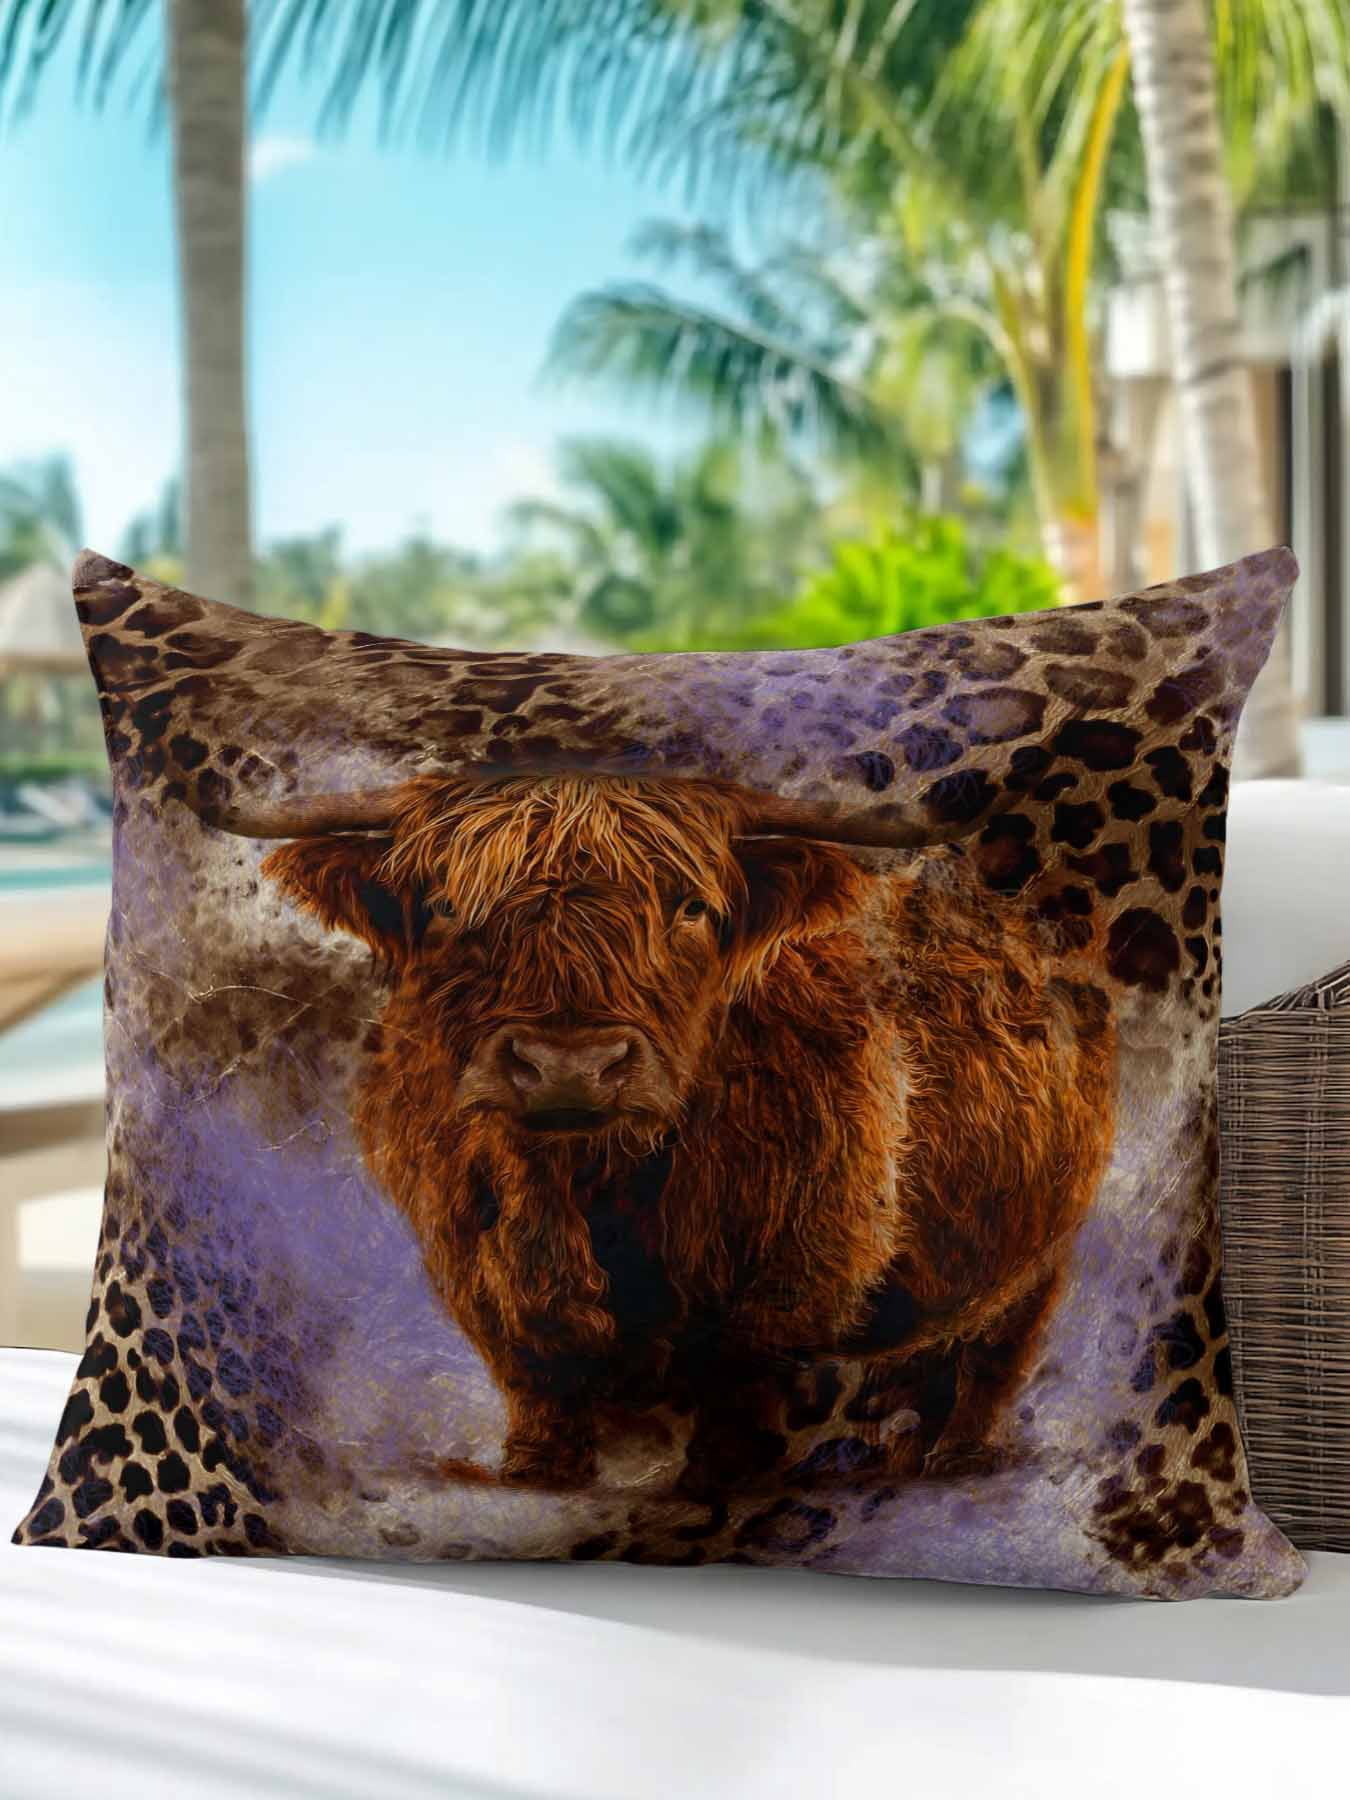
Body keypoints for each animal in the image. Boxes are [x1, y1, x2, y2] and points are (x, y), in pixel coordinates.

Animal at [190, 770, 1117, 1496]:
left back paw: (952, 1459)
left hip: (1040, 1259)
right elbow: (534, 1365)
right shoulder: (466, 1250)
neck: (587, 1185)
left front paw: (721, 1482)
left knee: (991, 1358)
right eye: (448, 906)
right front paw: (538, 1471)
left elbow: (740, 1381)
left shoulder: (796, 1265)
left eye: (692, 908)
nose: (568, 1064)